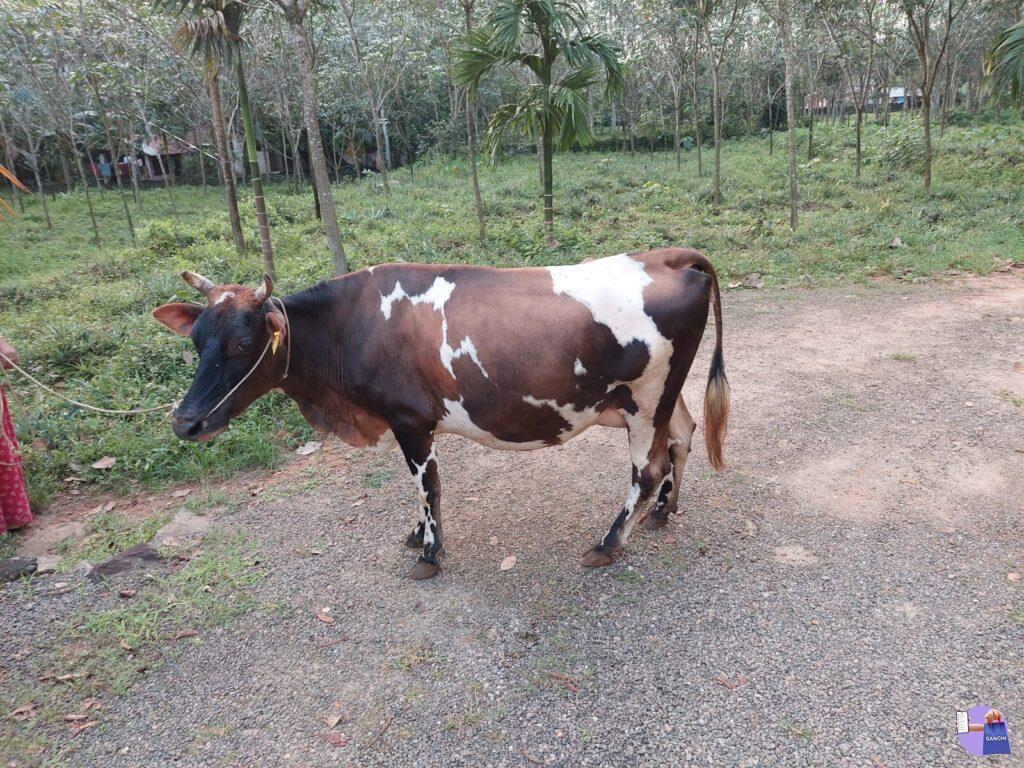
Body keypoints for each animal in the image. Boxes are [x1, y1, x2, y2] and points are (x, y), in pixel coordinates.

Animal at [152, 247, 729, 580]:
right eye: (197, 340)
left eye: (243, 342)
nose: (185, 422)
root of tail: (667, 256)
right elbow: (418, 489)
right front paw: (417, 535)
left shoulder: (410, 420)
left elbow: (427, 486)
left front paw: (429, 553)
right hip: (661, 397)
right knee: (683, 434)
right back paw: (663, 512)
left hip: (646, 398)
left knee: (648, 469)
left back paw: (608, 544)